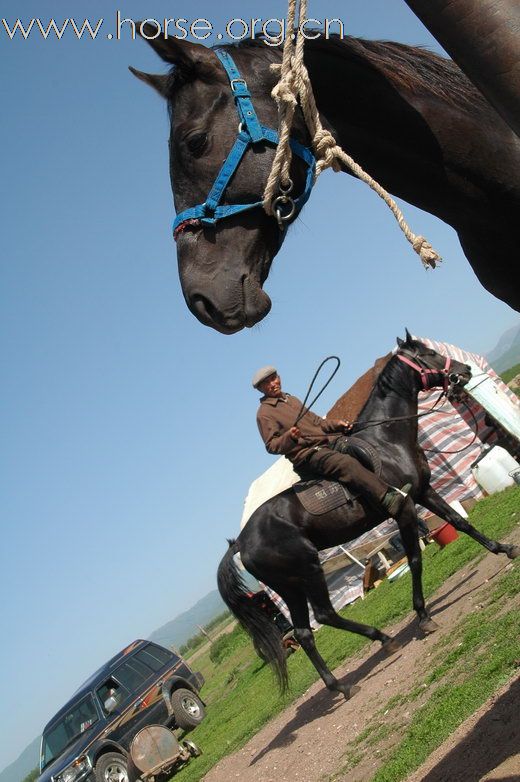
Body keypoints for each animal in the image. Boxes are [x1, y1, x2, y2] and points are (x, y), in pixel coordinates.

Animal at [217, 334, 516, 700]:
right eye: (430, 353)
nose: (464, 371)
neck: (387, 440)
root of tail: (242, 542)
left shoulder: (423, 492)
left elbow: (461, 522)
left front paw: (505, 549)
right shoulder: (404, 509)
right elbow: (415, 559)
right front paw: (423, 616)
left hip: (289, 586)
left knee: (304, 632)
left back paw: (342, 683)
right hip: (307, 570)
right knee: (324, 614)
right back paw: (381, 641)